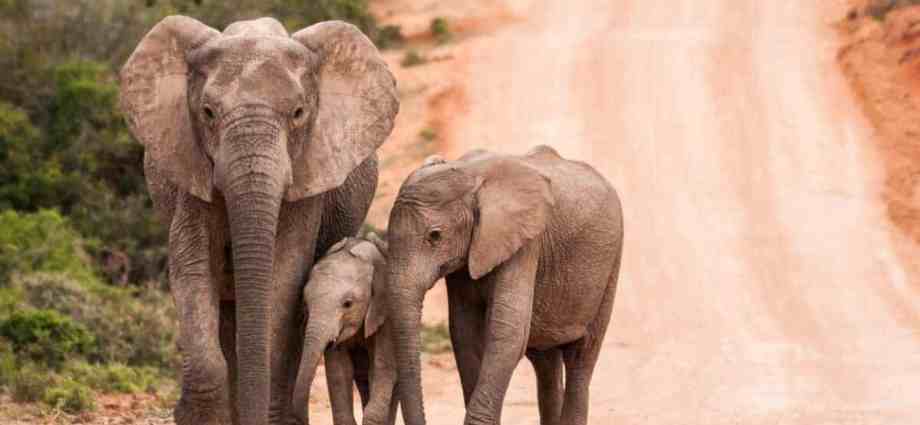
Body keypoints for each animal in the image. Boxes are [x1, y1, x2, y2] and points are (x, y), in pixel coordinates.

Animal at [291, 235, 397, 425]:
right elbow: (339, 371)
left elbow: (382, 367)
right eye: (306, 304)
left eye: (348, 304)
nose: (304, 419)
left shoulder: (387, 315)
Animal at [385, 146, 623, 425]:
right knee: (546, 363)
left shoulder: (525, 243)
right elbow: (464, 331)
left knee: (581, 357)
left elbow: (507, 331)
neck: (470, 174)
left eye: (435, 236)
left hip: (610, 265)